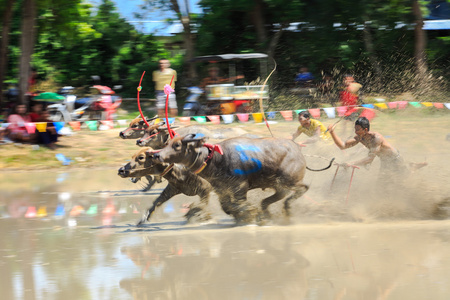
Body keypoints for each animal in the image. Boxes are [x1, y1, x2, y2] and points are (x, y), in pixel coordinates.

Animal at [153, 135, 314, 224]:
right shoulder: (221, 189)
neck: (217, 159)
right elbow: (226, 206)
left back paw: (287, 208)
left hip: (289, 180)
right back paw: (267, 213)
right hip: (279, 185)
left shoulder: (240, 187)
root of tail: (297, 150)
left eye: (177, 145)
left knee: (304, 188)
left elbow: (239, 204)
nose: (156, 155)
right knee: (273, 198)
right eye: (168, 143)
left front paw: (247, 215)